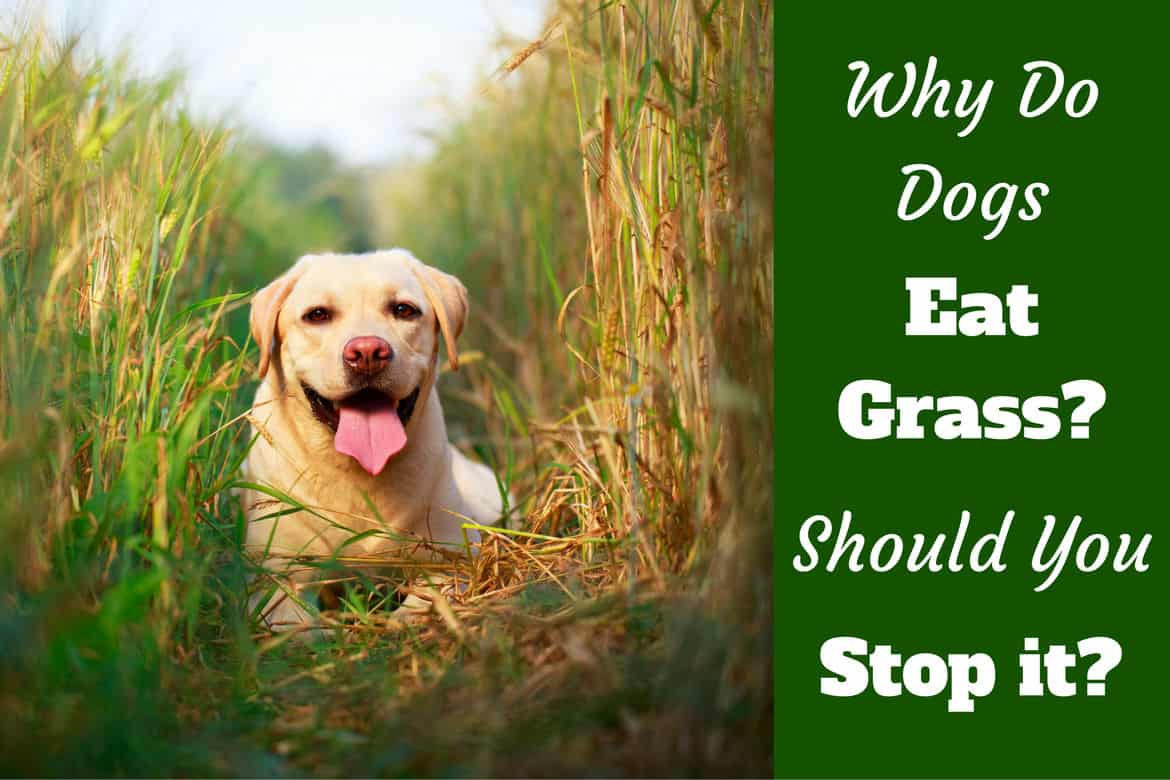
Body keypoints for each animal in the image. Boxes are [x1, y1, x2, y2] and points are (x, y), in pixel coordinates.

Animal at [239, 249, 505, 636]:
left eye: (404, 310)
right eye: (317, 315)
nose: (367, 352)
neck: (357, 474)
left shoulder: (455, 557)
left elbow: (430, 596)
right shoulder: (275, 574)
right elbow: (291, 620)